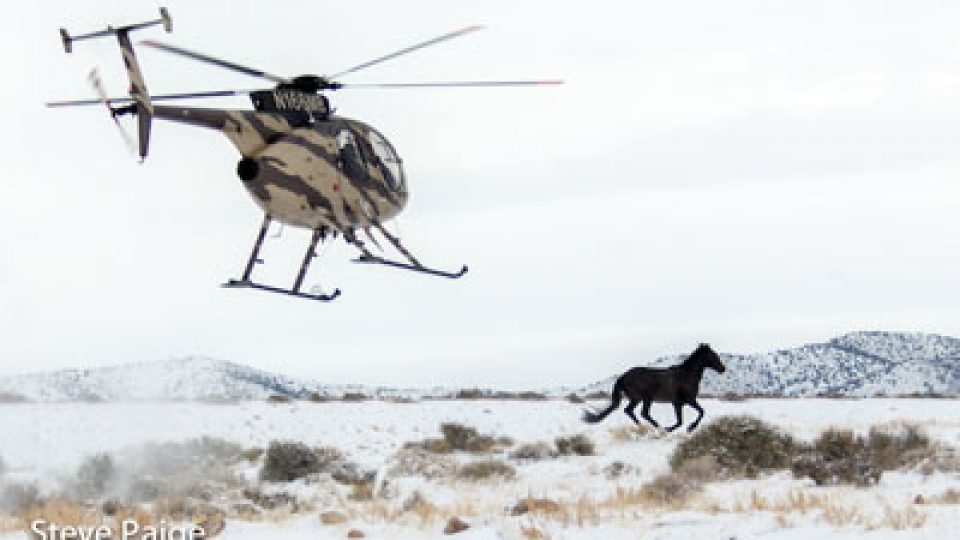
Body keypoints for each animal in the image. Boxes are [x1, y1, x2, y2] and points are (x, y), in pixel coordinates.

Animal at [582, 343, 726, 432]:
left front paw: (685, 428)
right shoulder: (682, 402)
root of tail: (623, 376)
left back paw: (644, 426)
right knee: (641, 413)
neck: (686, 375)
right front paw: (684, 428)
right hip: (644, 398)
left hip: (638, 399)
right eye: (713, 355)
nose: (723, 369)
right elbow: (690, 417)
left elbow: (694, 415)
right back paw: (654, 427)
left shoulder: (684, 403)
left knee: (631, 411)